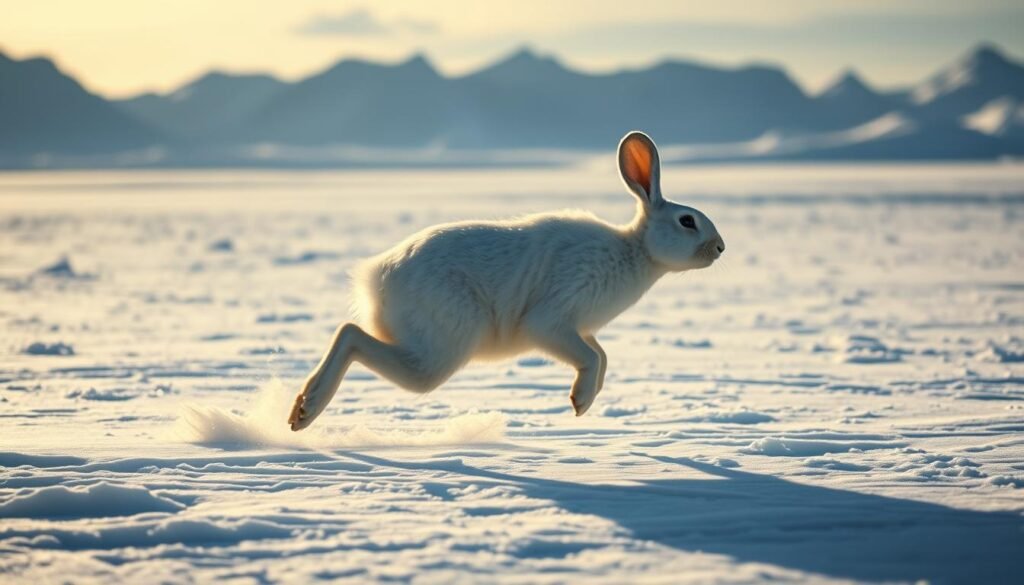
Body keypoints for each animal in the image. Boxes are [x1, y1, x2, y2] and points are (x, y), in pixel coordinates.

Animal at [288, 131, 725, 431]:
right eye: (687, 221)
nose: (720, 247)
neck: (636, 249)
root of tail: (376, 280)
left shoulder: (582, 329)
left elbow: (601, 356)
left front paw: (584, 402)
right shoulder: (552, 320)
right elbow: (587, 356)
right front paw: (580, 400)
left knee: (351, 332)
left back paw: (301, 411)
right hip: (442, 348)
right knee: (351, 335)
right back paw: (306, 409)